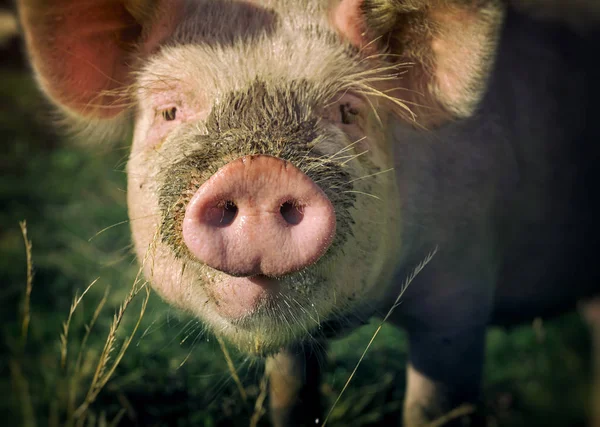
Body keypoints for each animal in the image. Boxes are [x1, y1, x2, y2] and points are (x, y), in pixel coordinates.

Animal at [17, 0, 600, 426]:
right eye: (169, 111)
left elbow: (431, 404)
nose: (257, 171)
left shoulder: (459, 297)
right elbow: (290, 394)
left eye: (347, 110)